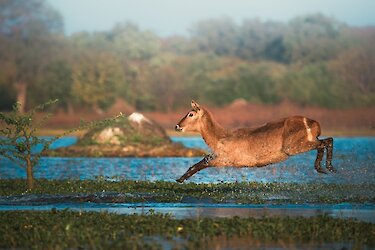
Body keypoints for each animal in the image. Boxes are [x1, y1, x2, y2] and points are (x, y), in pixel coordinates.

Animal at [175, 100, 336, 183]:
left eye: (190, 114)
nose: (177, 126)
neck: (220, 137)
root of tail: (314, 123)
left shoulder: (227, 159)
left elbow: (201, 163)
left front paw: (180, 179)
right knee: (327, 140)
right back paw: (324, 168)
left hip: (294, 147)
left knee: (326, 142)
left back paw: (327, 167)